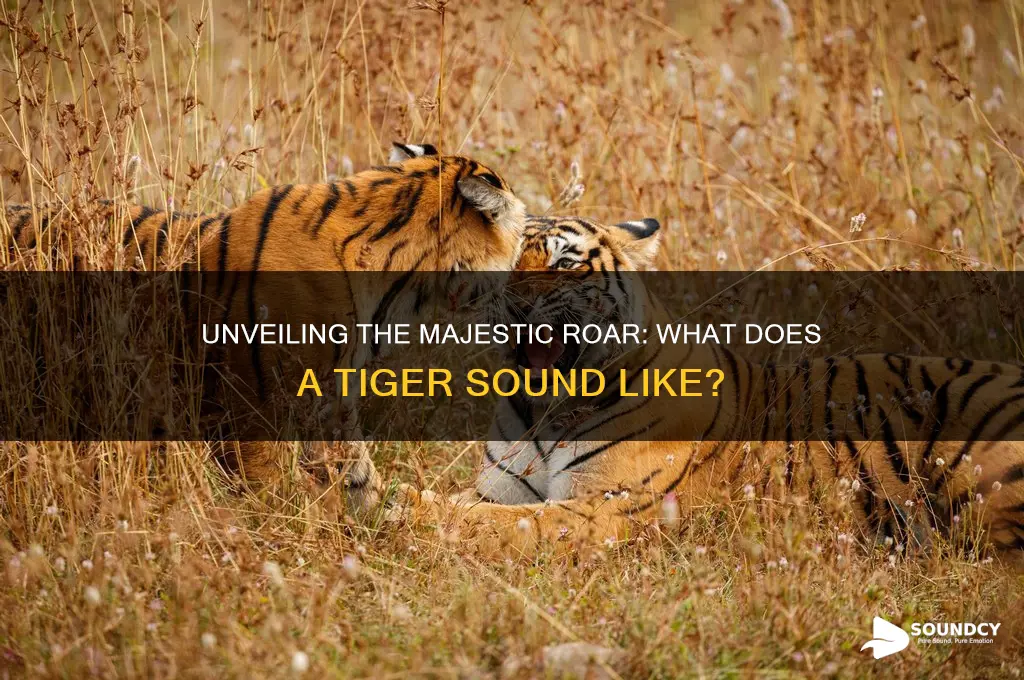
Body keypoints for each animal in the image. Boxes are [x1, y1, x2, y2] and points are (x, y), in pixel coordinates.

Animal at [392, 215, 1024, 563]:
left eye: (564, 264)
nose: (511, 305)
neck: (547, 407)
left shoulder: (613, 508)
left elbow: (505, 525)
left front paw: (396, 504)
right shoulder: (501, 488)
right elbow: (483, 512)